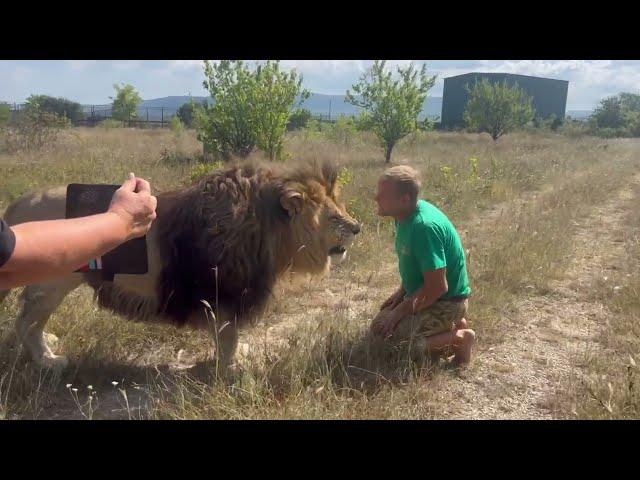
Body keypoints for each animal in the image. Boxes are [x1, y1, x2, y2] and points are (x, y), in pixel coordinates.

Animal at [0, 161, 360, 372]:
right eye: (333, 216)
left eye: (340, 207)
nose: (358, 227)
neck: (269, 229)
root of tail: (21, 201)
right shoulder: (224, 294)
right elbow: (227, 338)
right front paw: (230, 370)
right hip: (52, 284)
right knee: (26, 322)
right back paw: (48, 361)